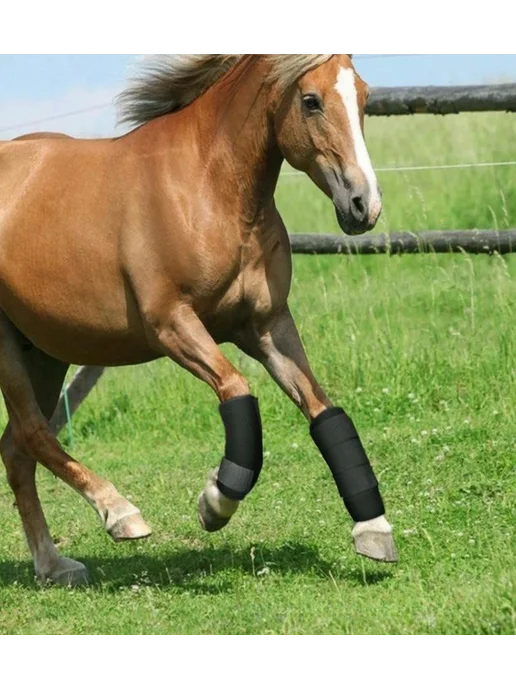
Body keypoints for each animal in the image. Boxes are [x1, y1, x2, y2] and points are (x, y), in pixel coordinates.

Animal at [0, 54, 396, 587]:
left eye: (364, 96)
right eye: (311, 101)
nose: (363, 206)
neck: (209, 189)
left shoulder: (268, 327)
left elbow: (324, 410)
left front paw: (374, 531)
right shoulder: (173, 325)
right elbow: (237, 391)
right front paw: (214, 503)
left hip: (43, 350)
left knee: (17, 449)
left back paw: (53, 564)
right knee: (33, 434)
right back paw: (121, 515)